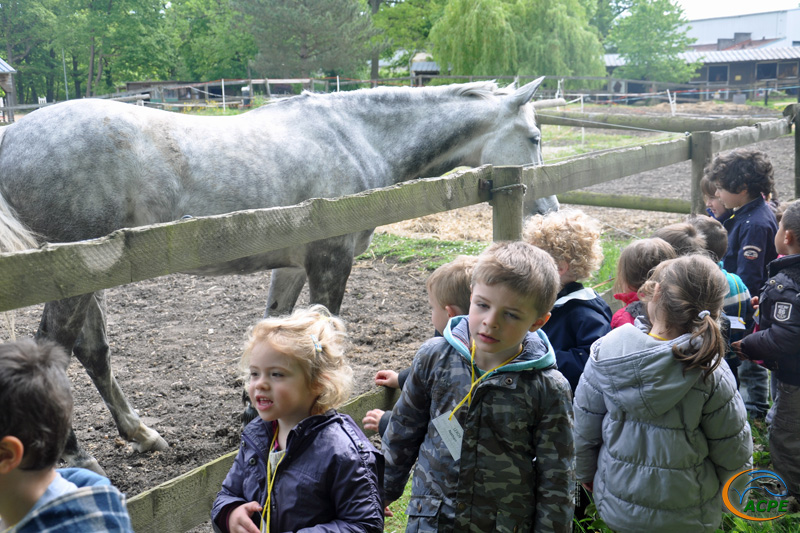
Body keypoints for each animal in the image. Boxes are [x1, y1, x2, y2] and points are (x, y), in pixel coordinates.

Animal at [0, 77, 556, 468]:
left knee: (92, 352)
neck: (355, 138)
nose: (547, 208)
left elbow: (277, 324)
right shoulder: (331, 259)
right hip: (70, 280)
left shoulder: (290, 267)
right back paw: (77, 454)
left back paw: (141, 434)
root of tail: (11, 137)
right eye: (533, 136)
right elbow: (322, 332)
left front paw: (255, 411)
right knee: (53, 347)